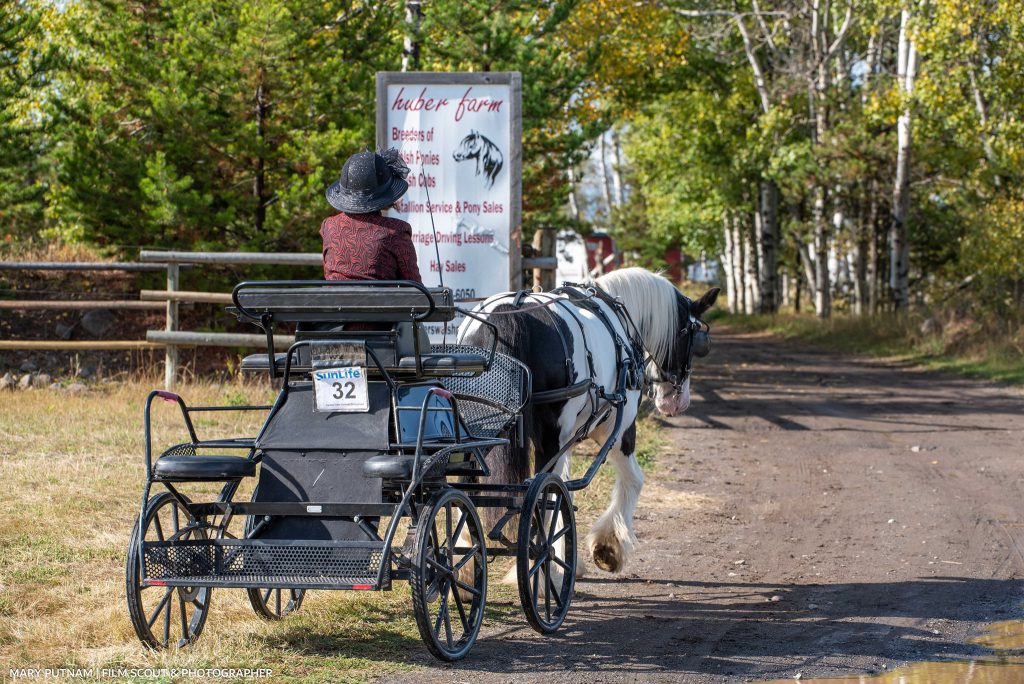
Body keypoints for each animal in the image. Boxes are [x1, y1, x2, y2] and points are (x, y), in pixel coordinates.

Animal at [460, 264, 716, 573]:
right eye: (693, 338)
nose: (677, 402)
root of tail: (512, 309)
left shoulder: (569, 437)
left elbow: (565, 490)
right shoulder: (618, 429)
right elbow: (632, 479)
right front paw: (608, 547)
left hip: (478, 431)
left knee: (463, 486)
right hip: (550, 437)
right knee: (543, 493)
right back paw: (546, 567)